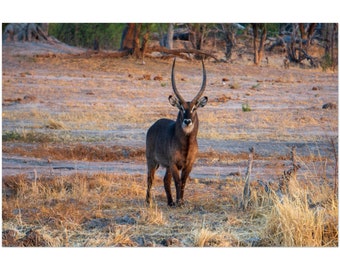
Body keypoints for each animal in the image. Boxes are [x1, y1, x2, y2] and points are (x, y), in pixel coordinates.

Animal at [145, 58, 207, 207]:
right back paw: (148, 201)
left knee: (165, 180)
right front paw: (179, 202)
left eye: (194, 108)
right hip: (152, 161)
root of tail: (153, 126)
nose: (187, 121)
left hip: (166, 165)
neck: (186, 144)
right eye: (181, 108)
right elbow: (177, 182)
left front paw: (181, 201)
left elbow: (183, 181)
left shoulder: (188, 164)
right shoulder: (173, 164)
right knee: (150, 179)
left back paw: (170, 202)